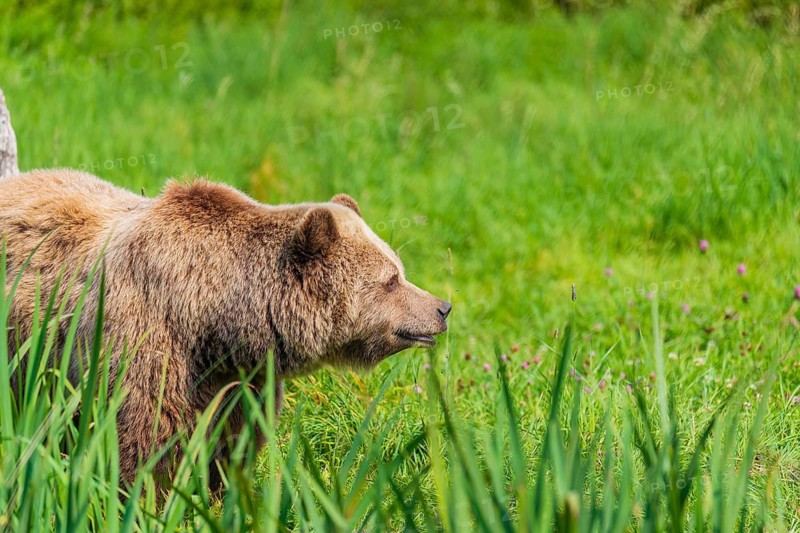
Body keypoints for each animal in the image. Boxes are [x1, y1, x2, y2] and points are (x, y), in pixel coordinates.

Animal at [0, 169, 451, 490]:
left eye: (399, 269)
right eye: (390, 279)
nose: (442, 307)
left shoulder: (239, 381)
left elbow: (230, 445)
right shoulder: (145, 343)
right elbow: (145, 443)